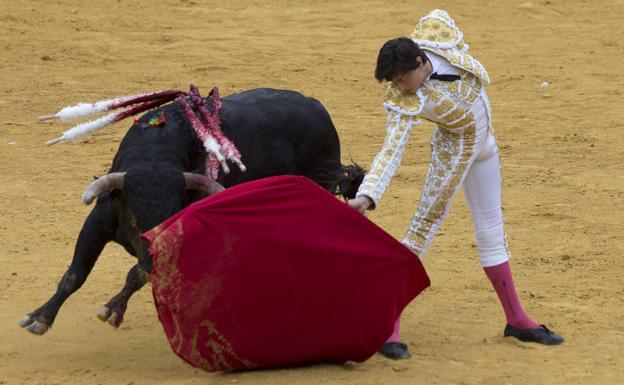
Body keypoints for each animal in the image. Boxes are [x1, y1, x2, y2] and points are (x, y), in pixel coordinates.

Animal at [20, 87, 366, 332]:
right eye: (133, 217)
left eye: (174, 212)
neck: (155, 159)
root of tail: (318, 109)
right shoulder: (99, 220)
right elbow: (74, 274)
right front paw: (39, 317)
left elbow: (135, 273)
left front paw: (112, 308)